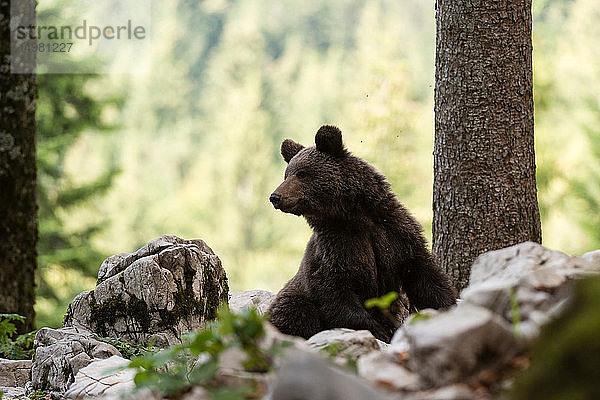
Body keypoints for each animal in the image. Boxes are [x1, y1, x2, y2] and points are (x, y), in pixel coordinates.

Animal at [268, 125, 454, 340]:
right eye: (287, 174)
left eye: (302, 174)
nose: (275, 196)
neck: (354, 215)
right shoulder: (336, 247)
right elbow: (337, 293)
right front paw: (380, 330)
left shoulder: (396, 234)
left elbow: (422, 274)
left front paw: (446, 305)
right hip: (295, 297)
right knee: (295, 312)